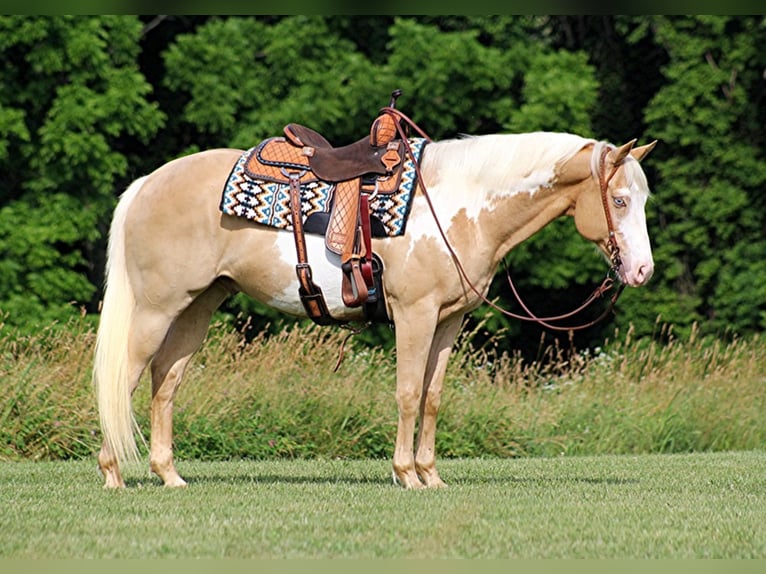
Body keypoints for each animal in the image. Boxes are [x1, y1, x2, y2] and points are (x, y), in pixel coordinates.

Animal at [94, 129, 660, 490]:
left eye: (644, 200)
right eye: (621, 200)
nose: (641, 271)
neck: (459, 207)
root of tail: (146, 184)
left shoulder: (448, 321)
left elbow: (432, 397)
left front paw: (432, 476)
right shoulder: (414, 315)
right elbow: (408, 395)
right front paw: (406, 474)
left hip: (198, 307)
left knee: (165, 383)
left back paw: (169, 475)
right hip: (156, 309)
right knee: (123, 378)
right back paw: (113, 474)